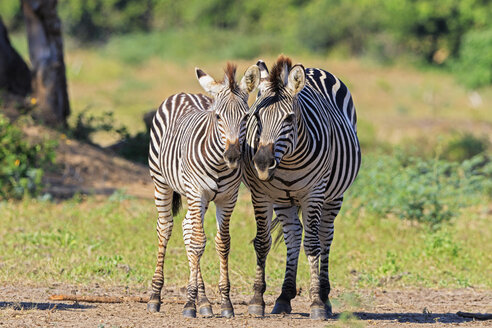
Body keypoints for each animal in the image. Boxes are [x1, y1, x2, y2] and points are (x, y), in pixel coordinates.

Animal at [147, 63, 262, 318]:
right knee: (165, 228)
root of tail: (183, 93)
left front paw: (225, 303)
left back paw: (204, 302)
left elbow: (223, 243)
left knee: (188, 229)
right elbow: (199, 243)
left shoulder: (228, 198)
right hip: (162, 183)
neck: (219, 164)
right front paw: (189, 305)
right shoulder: (197, 192)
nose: (233, 156)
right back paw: (155, 297)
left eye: (246, 117)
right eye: (218, 116)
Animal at [242, 55, 362, 320]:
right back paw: (284, 297)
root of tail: (312, 69)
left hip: (334, 196)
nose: (262, 163)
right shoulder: (261, 193)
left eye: (289, 119)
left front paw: (316, 303)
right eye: (256, 118)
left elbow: (313, 245)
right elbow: (262, 242)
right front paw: (257, 300)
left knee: (325, 236)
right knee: (294, 235)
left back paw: (325, 297)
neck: (287, 162)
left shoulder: (314, 193)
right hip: (283, 200)